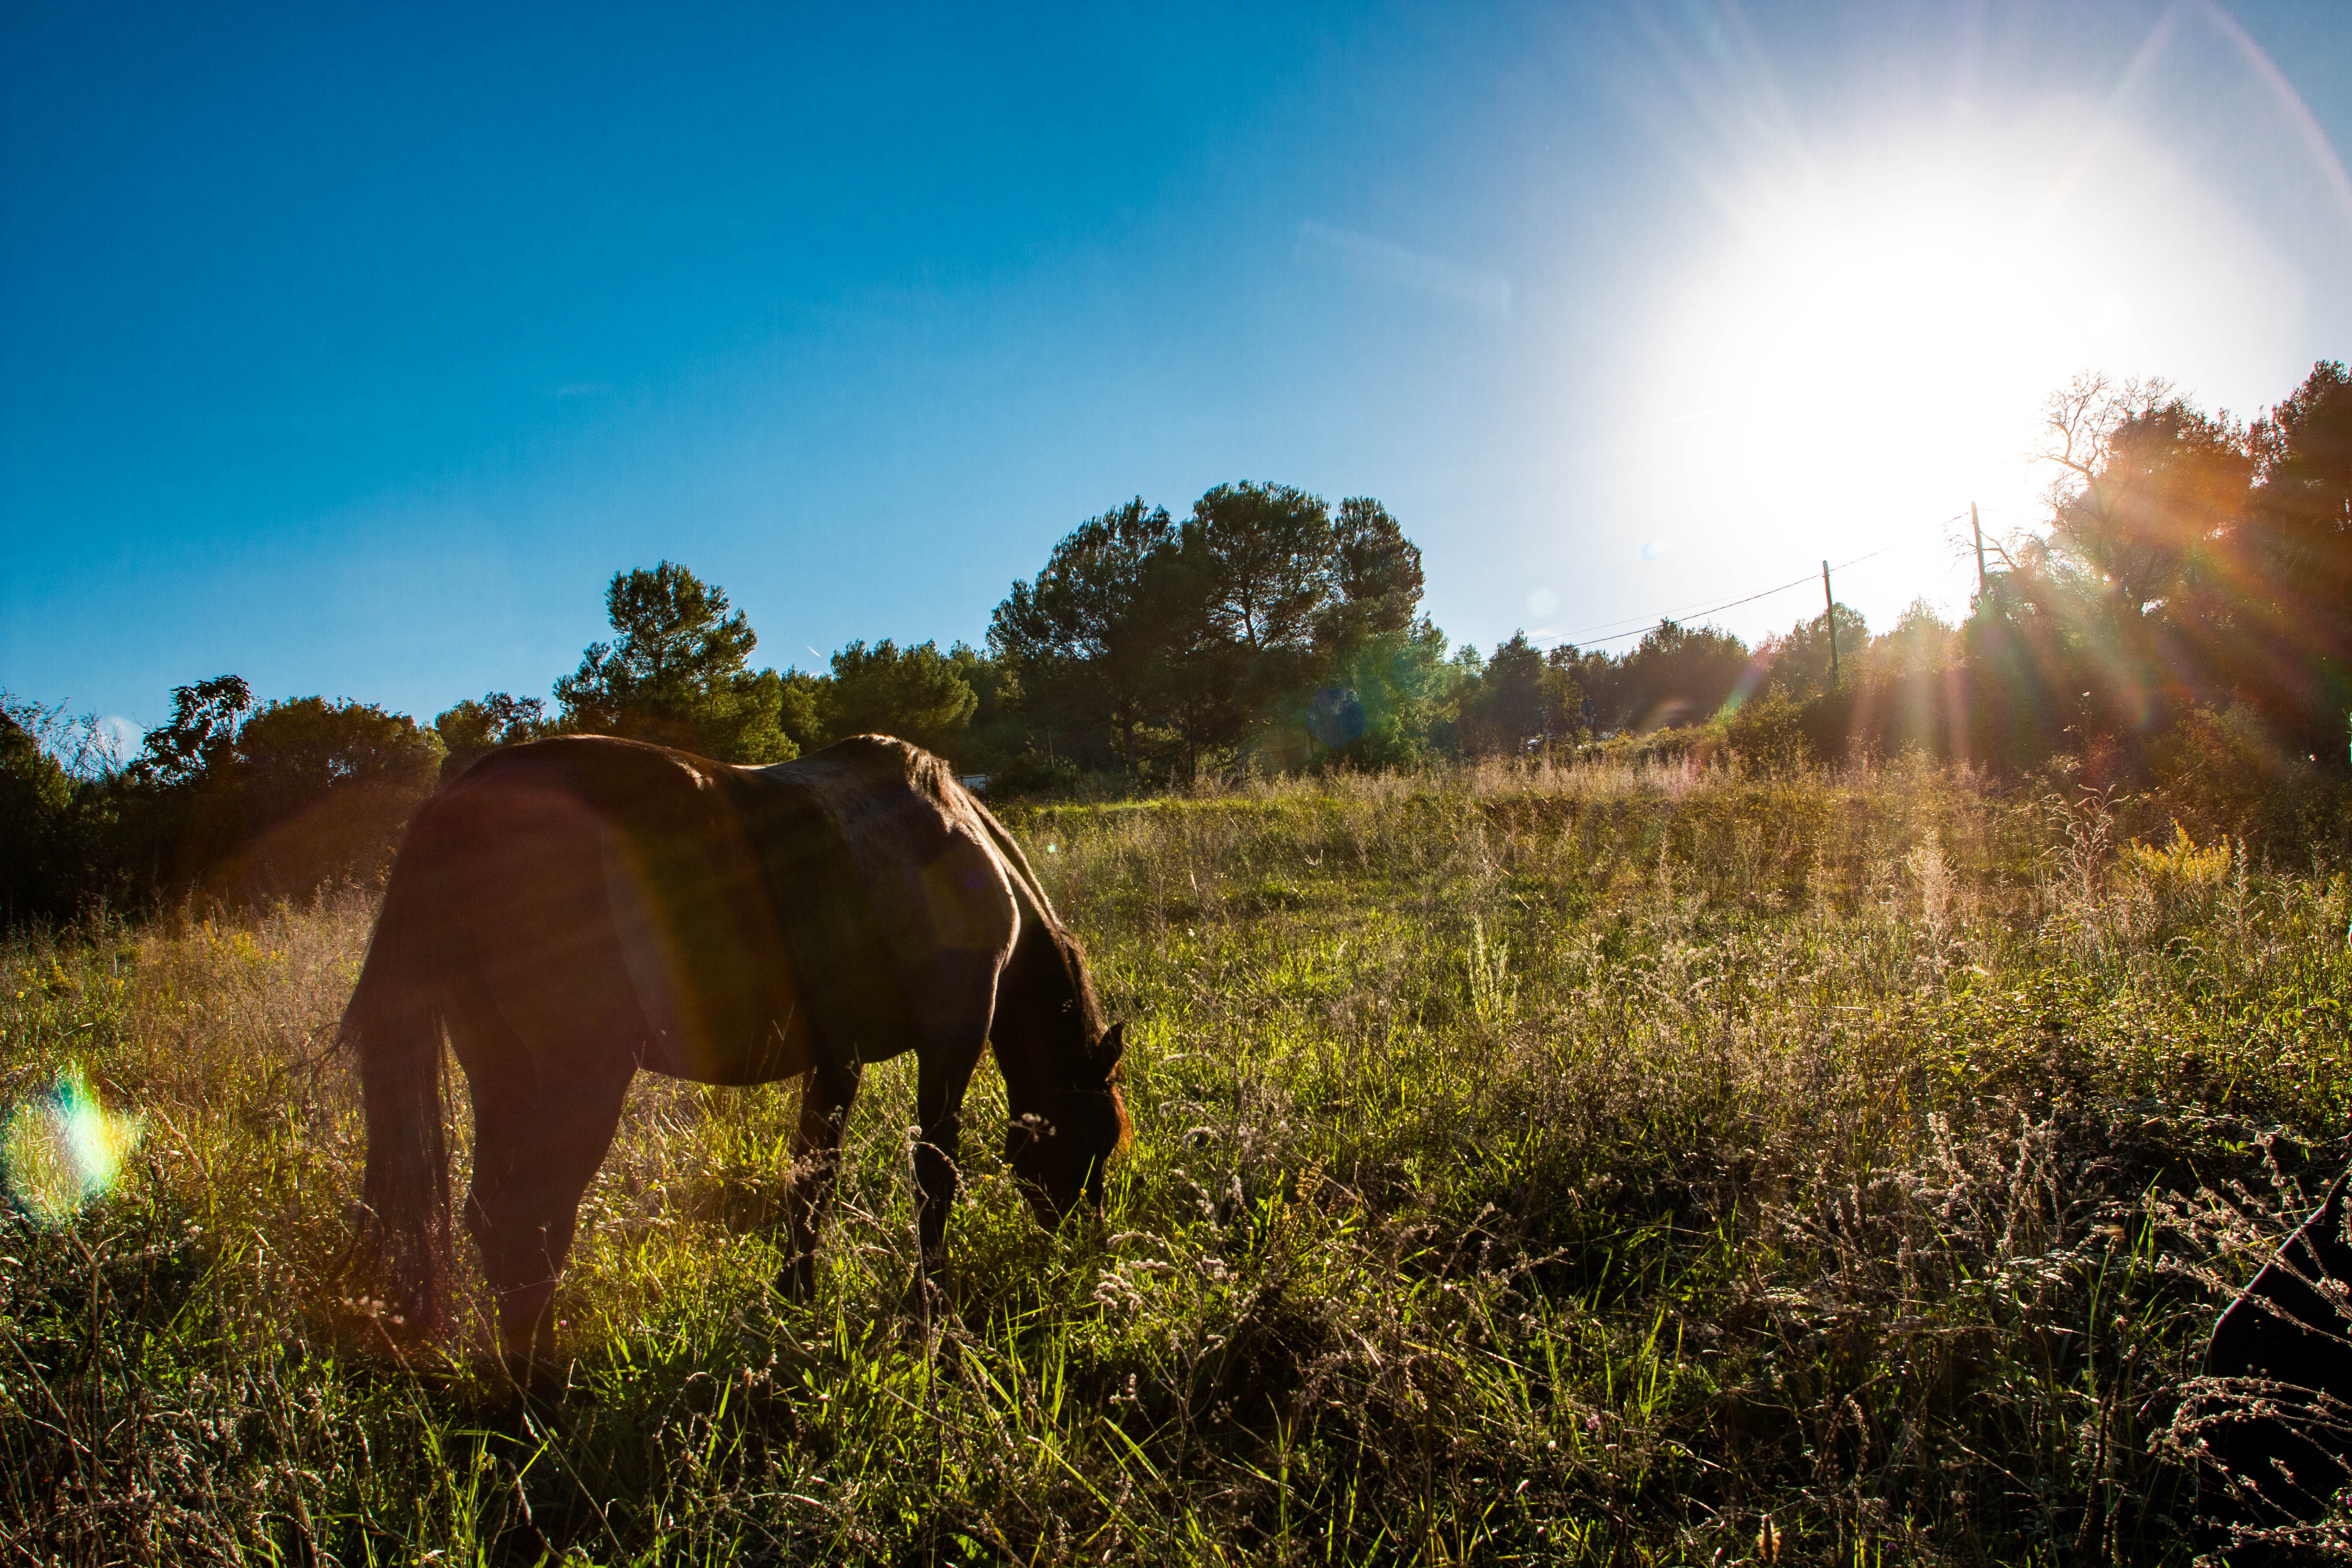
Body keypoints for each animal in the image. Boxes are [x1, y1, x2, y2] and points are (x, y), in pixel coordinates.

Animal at [340, 733, 1129, 1371]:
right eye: (1099, 1137)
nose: (1087, 1248)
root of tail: (459, 800)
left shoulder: (839, 1061)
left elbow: (812, 1179)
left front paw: (796, 1299)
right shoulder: (951, 1038)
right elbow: (933, 1177)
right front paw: (929, 1312)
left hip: (500, 1071)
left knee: (492, 1219)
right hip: (580, 1081)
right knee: (530, 1222)